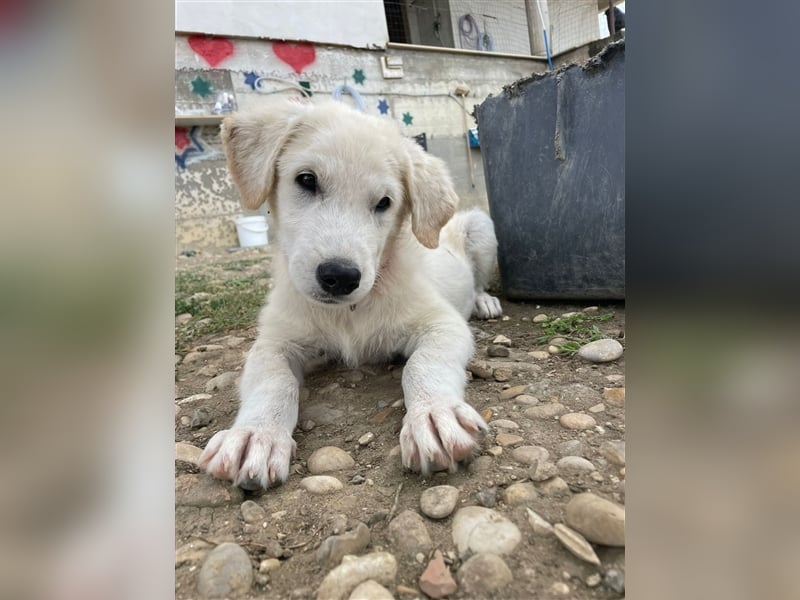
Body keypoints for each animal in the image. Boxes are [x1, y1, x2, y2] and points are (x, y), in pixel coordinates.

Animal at [198, 99, 500, 492]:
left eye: (384, 202)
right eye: (307, 180)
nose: (340, 277)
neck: (349, 313)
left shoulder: (442, 323)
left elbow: (422, 364)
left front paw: (434, 414)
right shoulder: (273, 342)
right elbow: (273, 381)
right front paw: (255, 435)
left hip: (481, 228)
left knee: (478, 281)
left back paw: (484, 301)